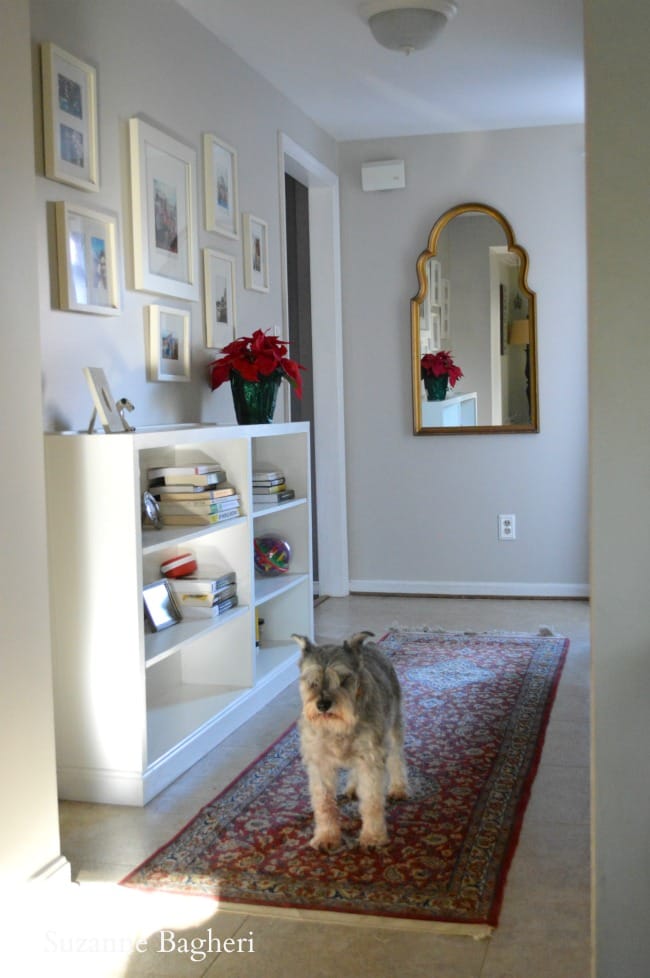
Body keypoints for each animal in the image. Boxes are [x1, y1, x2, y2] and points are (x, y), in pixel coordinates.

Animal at [292, 632, 408, 848]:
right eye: (312, 681)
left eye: (344, 679)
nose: (322, 704)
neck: (337, 727)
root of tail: (371, 647)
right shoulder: (320, 763)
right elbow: (324, 803)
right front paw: (326, 836)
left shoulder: (370, 758)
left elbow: (371, 800)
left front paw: (372, 837)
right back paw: (353, 787)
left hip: (393, 728)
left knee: (396, 758)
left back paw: (398, 788)